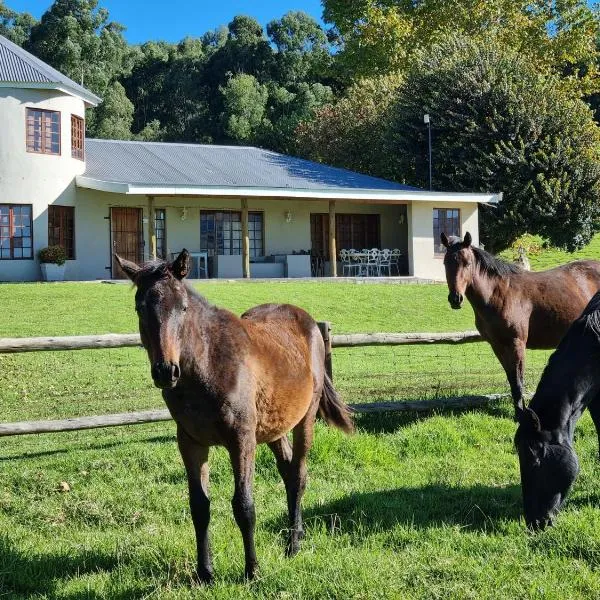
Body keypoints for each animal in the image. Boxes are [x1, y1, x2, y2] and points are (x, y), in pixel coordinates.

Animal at [115, 251, 354, 584]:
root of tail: (307, 321)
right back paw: (296, 534)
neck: (208, 365)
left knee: (298, 474)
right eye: (140, 307)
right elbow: (199, 507)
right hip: (274, 427)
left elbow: (244, 506)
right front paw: (204, 573)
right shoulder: (190, 443)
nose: (166, 371)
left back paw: (293, 544)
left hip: (304, 419)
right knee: (287, 471)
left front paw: (252, 572)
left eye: (183, 307)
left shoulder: (241, 440)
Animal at [438, 232, 600, 420]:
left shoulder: (517, 343)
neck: (499, 293)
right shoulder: (497, 345)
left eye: (467, 263)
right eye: (445, 263)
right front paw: (517, 412)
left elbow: (518, 380)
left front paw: (522, 414)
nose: (455, 299)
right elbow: (511, 380)